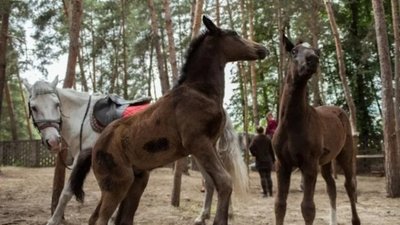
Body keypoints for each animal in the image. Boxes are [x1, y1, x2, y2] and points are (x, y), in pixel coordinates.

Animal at [23, 76, 248, 225]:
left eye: (56, 104)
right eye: (34, 107)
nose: (53, 141)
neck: (83, 117)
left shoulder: (83, 156)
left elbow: (67, 191)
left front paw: (53, 220)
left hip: (202, 150)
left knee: (216, 180)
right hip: (199, 151)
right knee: (211, 182)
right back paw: (205, 215)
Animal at [70, 16, 268, 225]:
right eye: (234, 34)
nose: (263, 49)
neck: (201, 92)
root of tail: (95, 147)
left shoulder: (210, 144)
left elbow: (217, 181)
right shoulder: (198, 142)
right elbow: (224, 181)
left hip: (136, 180)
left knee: (106, 217)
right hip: (118, 183)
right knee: (102, 218)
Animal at [272, 36, 360, 224]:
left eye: (317, 52)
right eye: (294, 51)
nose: (312, 60)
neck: (292, 124)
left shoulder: (309, 164)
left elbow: (308, 208)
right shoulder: (282, 164)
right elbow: (279, 205)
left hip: (345, 154)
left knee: (349, 186)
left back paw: (355, 220)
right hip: (326, 161)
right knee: (331, 187)